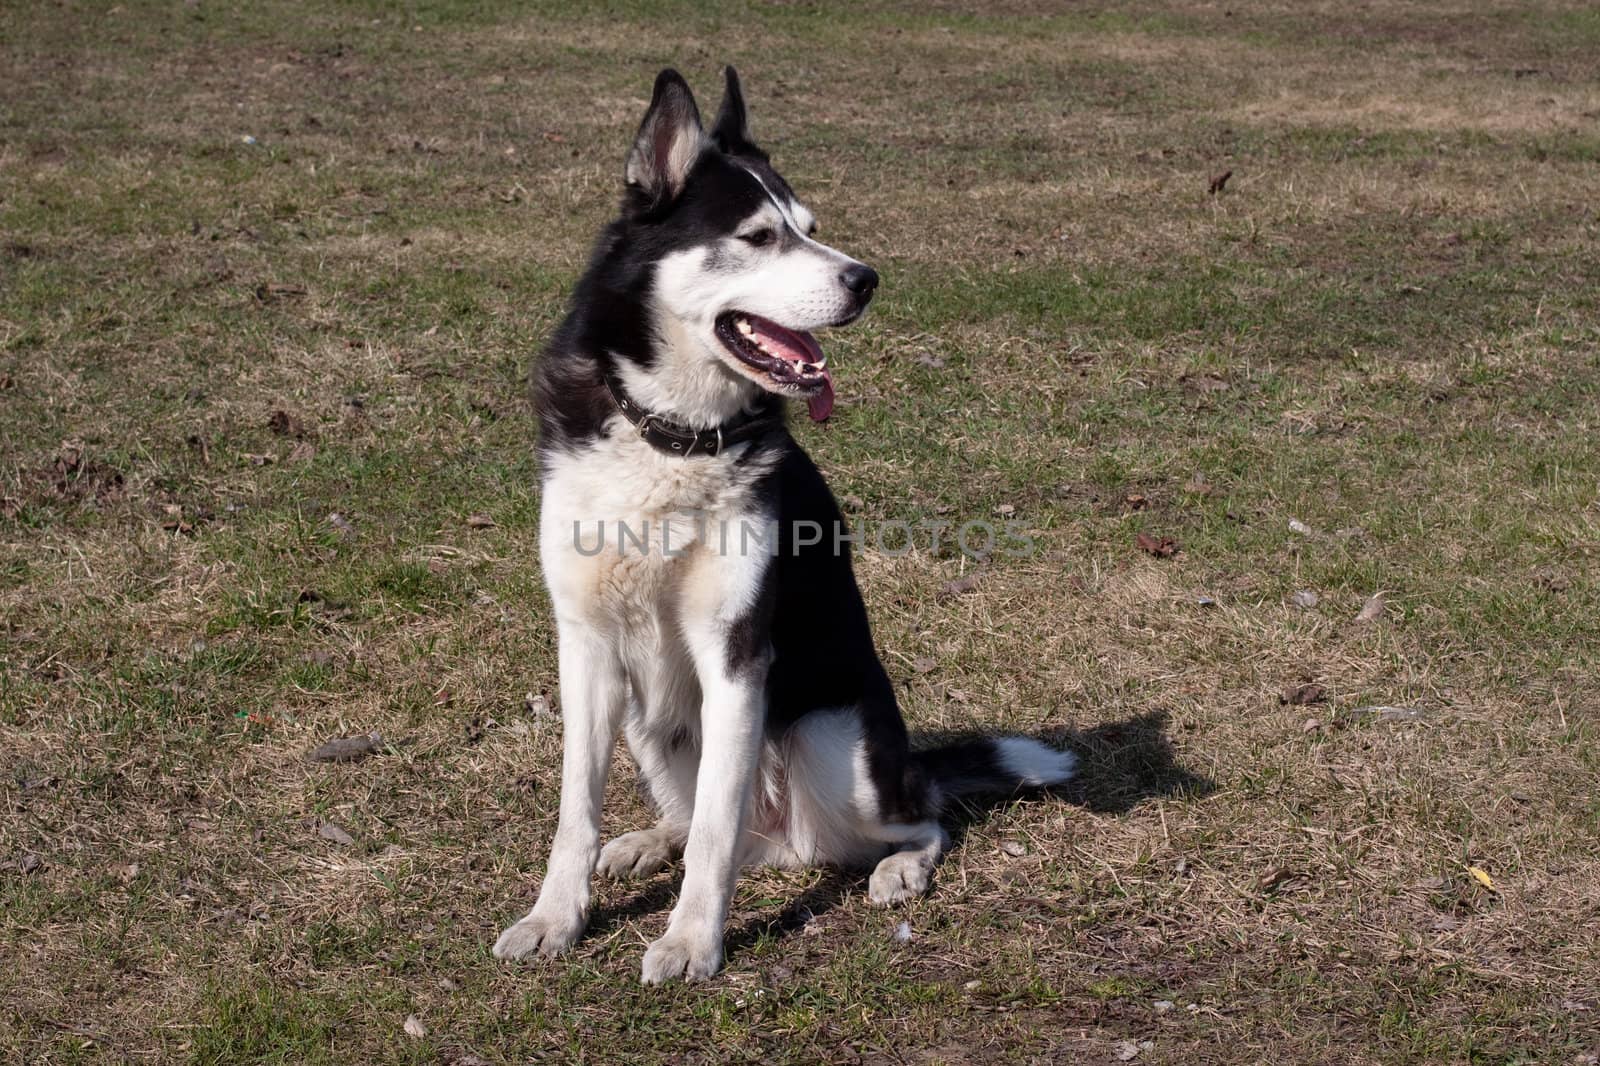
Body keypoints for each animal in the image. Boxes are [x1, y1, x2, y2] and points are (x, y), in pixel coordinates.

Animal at [496, 64, 1075, 979]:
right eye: (761, 236)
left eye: (812, 230)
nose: (867, 278)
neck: (672, 435)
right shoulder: (585, 647)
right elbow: (576, 813)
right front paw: (557, 917)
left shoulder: (736, 655)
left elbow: (715, 833)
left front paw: (692, 941)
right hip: (651, 722)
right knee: (716, 824)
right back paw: (648, 840)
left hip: (837, 749)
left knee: (917, 818)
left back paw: (900, 868)